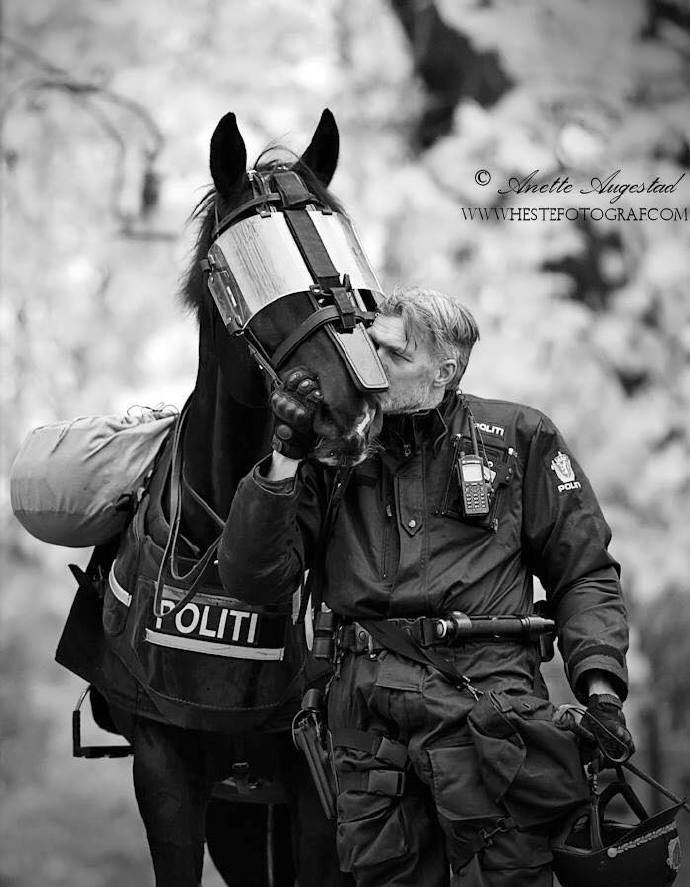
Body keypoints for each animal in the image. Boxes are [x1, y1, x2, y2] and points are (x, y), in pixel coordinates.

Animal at [71, 108, 387, 887]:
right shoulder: (167, 772)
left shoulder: (314, 782)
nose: (353, 407)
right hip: (237, 810)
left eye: (345, 249)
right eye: (253, 263)